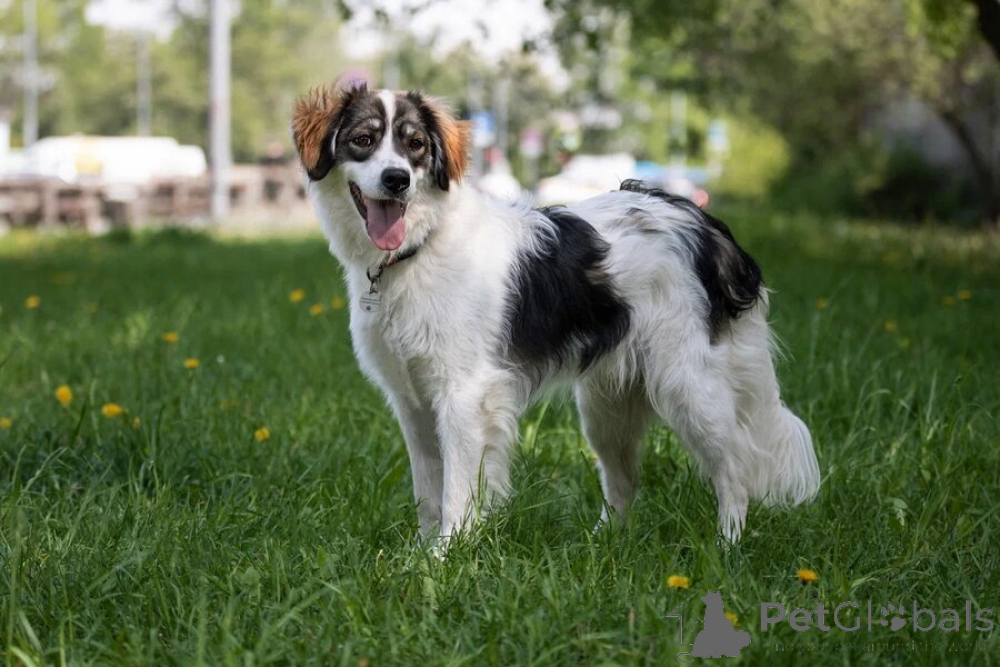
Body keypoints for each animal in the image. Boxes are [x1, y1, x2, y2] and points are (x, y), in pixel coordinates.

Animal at [292, 83, 820, 546]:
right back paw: (603, 546)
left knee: (735, 469)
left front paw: (444, 562)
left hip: (689, 386)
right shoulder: (414, 402)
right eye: (363, 140)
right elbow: (428, 493)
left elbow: (456, 493)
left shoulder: (464, 396)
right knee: (624, 483)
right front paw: (420, 557)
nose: (397, 180)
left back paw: (727, 546)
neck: (419, 247)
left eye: (415, 145)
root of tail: (701, 221)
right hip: (607, 409)